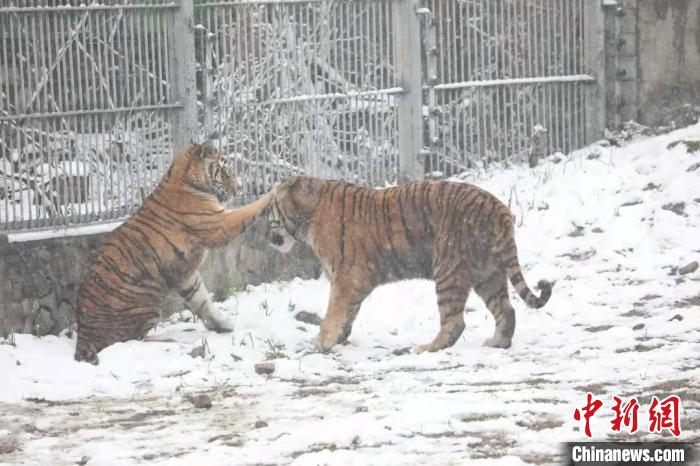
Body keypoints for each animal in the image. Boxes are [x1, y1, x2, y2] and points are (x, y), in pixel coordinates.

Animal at [75, 142, 272, 364]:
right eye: (225, 173)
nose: (238, 190)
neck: (183, 177)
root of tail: (83, 334)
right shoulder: (219, 224)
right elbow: (247, 210)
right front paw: (277, 190)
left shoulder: (185, 274)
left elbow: (201, 300)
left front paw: (222, 324)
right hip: (145, 301)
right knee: (130, 340)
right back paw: (168, 340)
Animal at [268, 177, 552, 352]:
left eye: (270, 208)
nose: (265, 236)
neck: (307, 216)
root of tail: (498, 208)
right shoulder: (353, 282)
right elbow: (348, 313)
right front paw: (339, 339)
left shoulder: (345, 278)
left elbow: (334, 312)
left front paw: (322, 342)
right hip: (488, 274)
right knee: (506, 310)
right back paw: (497, 343)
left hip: (449, 270)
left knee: (455, 322)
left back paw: (428, 348)